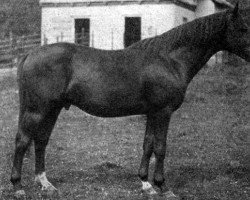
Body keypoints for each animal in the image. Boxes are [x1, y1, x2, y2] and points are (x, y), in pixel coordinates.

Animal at [10, 3, 250, 198]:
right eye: (243, 28)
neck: (169, 60)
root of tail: (30, 54)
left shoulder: (152, 113)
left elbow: (148, 145)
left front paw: (146, 184)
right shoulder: (163, 112)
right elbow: (160, 147)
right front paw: (163, 187)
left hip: (53, 109)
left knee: (41, 140)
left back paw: (46, 184)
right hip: (37, 110)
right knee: (23, 141)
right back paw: (18, 187)